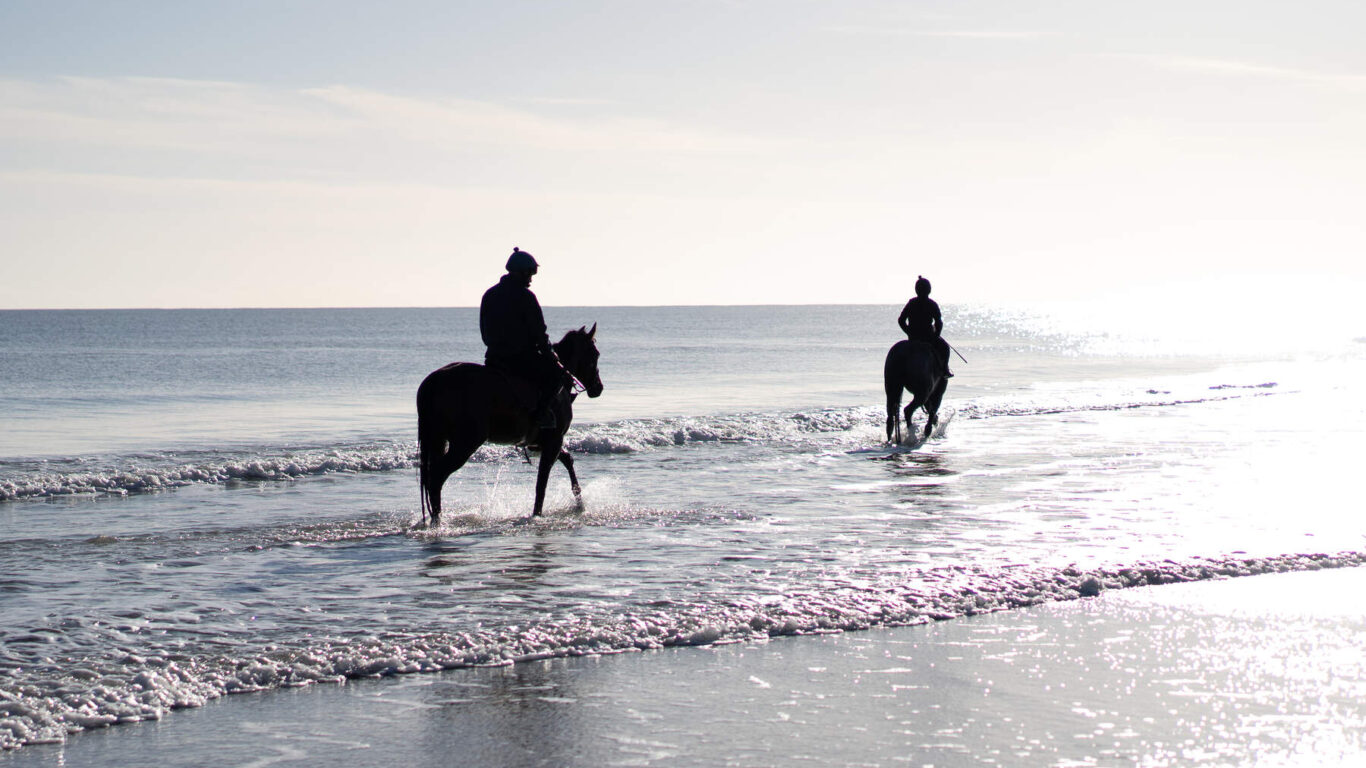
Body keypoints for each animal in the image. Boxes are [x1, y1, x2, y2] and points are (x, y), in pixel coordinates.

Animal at [416, 324, 604, 524]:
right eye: (594, 354)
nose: (598, 387)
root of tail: (434, 381)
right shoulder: (554, 441)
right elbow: (542, 483)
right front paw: (537, 514)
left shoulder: (545, 442)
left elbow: (567, 460)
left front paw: (579, 503)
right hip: (465, 443)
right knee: (437, 476)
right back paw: (437, 520)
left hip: (439, 439)